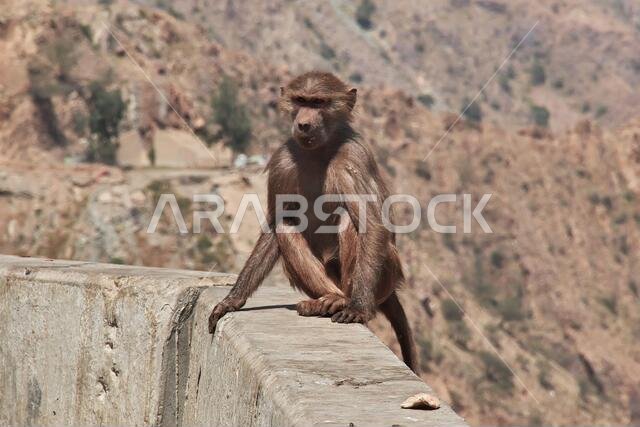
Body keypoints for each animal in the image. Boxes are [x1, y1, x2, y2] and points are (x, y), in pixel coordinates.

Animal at [208, 71, 418, 373]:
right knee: (286, 225)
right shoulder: (282, 159)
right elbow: (275, 224)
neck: (320, 150)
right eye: (301, 101)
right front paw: (232, 300)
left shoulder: (353, 157)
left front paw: (358, 308)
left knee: (349, 220)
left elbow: (371, 224)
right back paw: (326, 300)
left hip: (387, 275)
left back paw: (345, 301)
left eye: (319, 102)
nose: (304, 124)